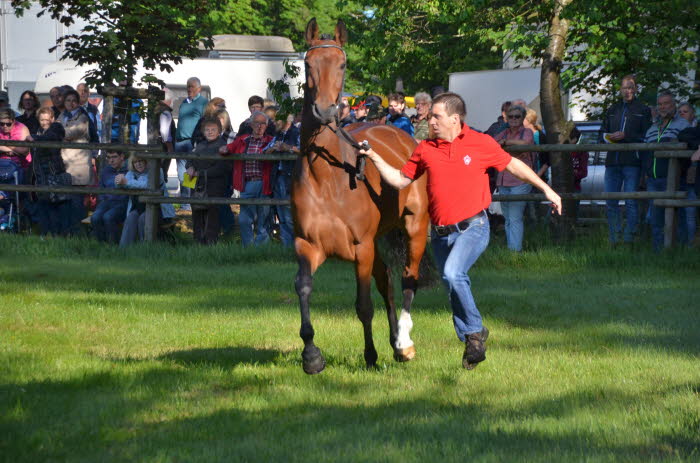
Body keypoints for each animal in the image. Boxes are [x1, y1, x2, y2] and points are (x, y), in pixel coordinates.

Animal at [292, 18, 432, 376]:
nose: (325, 109)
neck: (327, 179)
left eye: (342, 64)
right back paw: (395, 342)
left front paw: (370, 356)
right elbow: (303, 288)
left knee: (407, 279)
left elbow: (364, 305)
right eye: (308, 64)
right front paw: (311, 356)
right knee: (389, 285)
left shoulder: (361, 248)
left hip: (414, 228)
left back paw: (403, 345)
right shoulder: (307, 245)